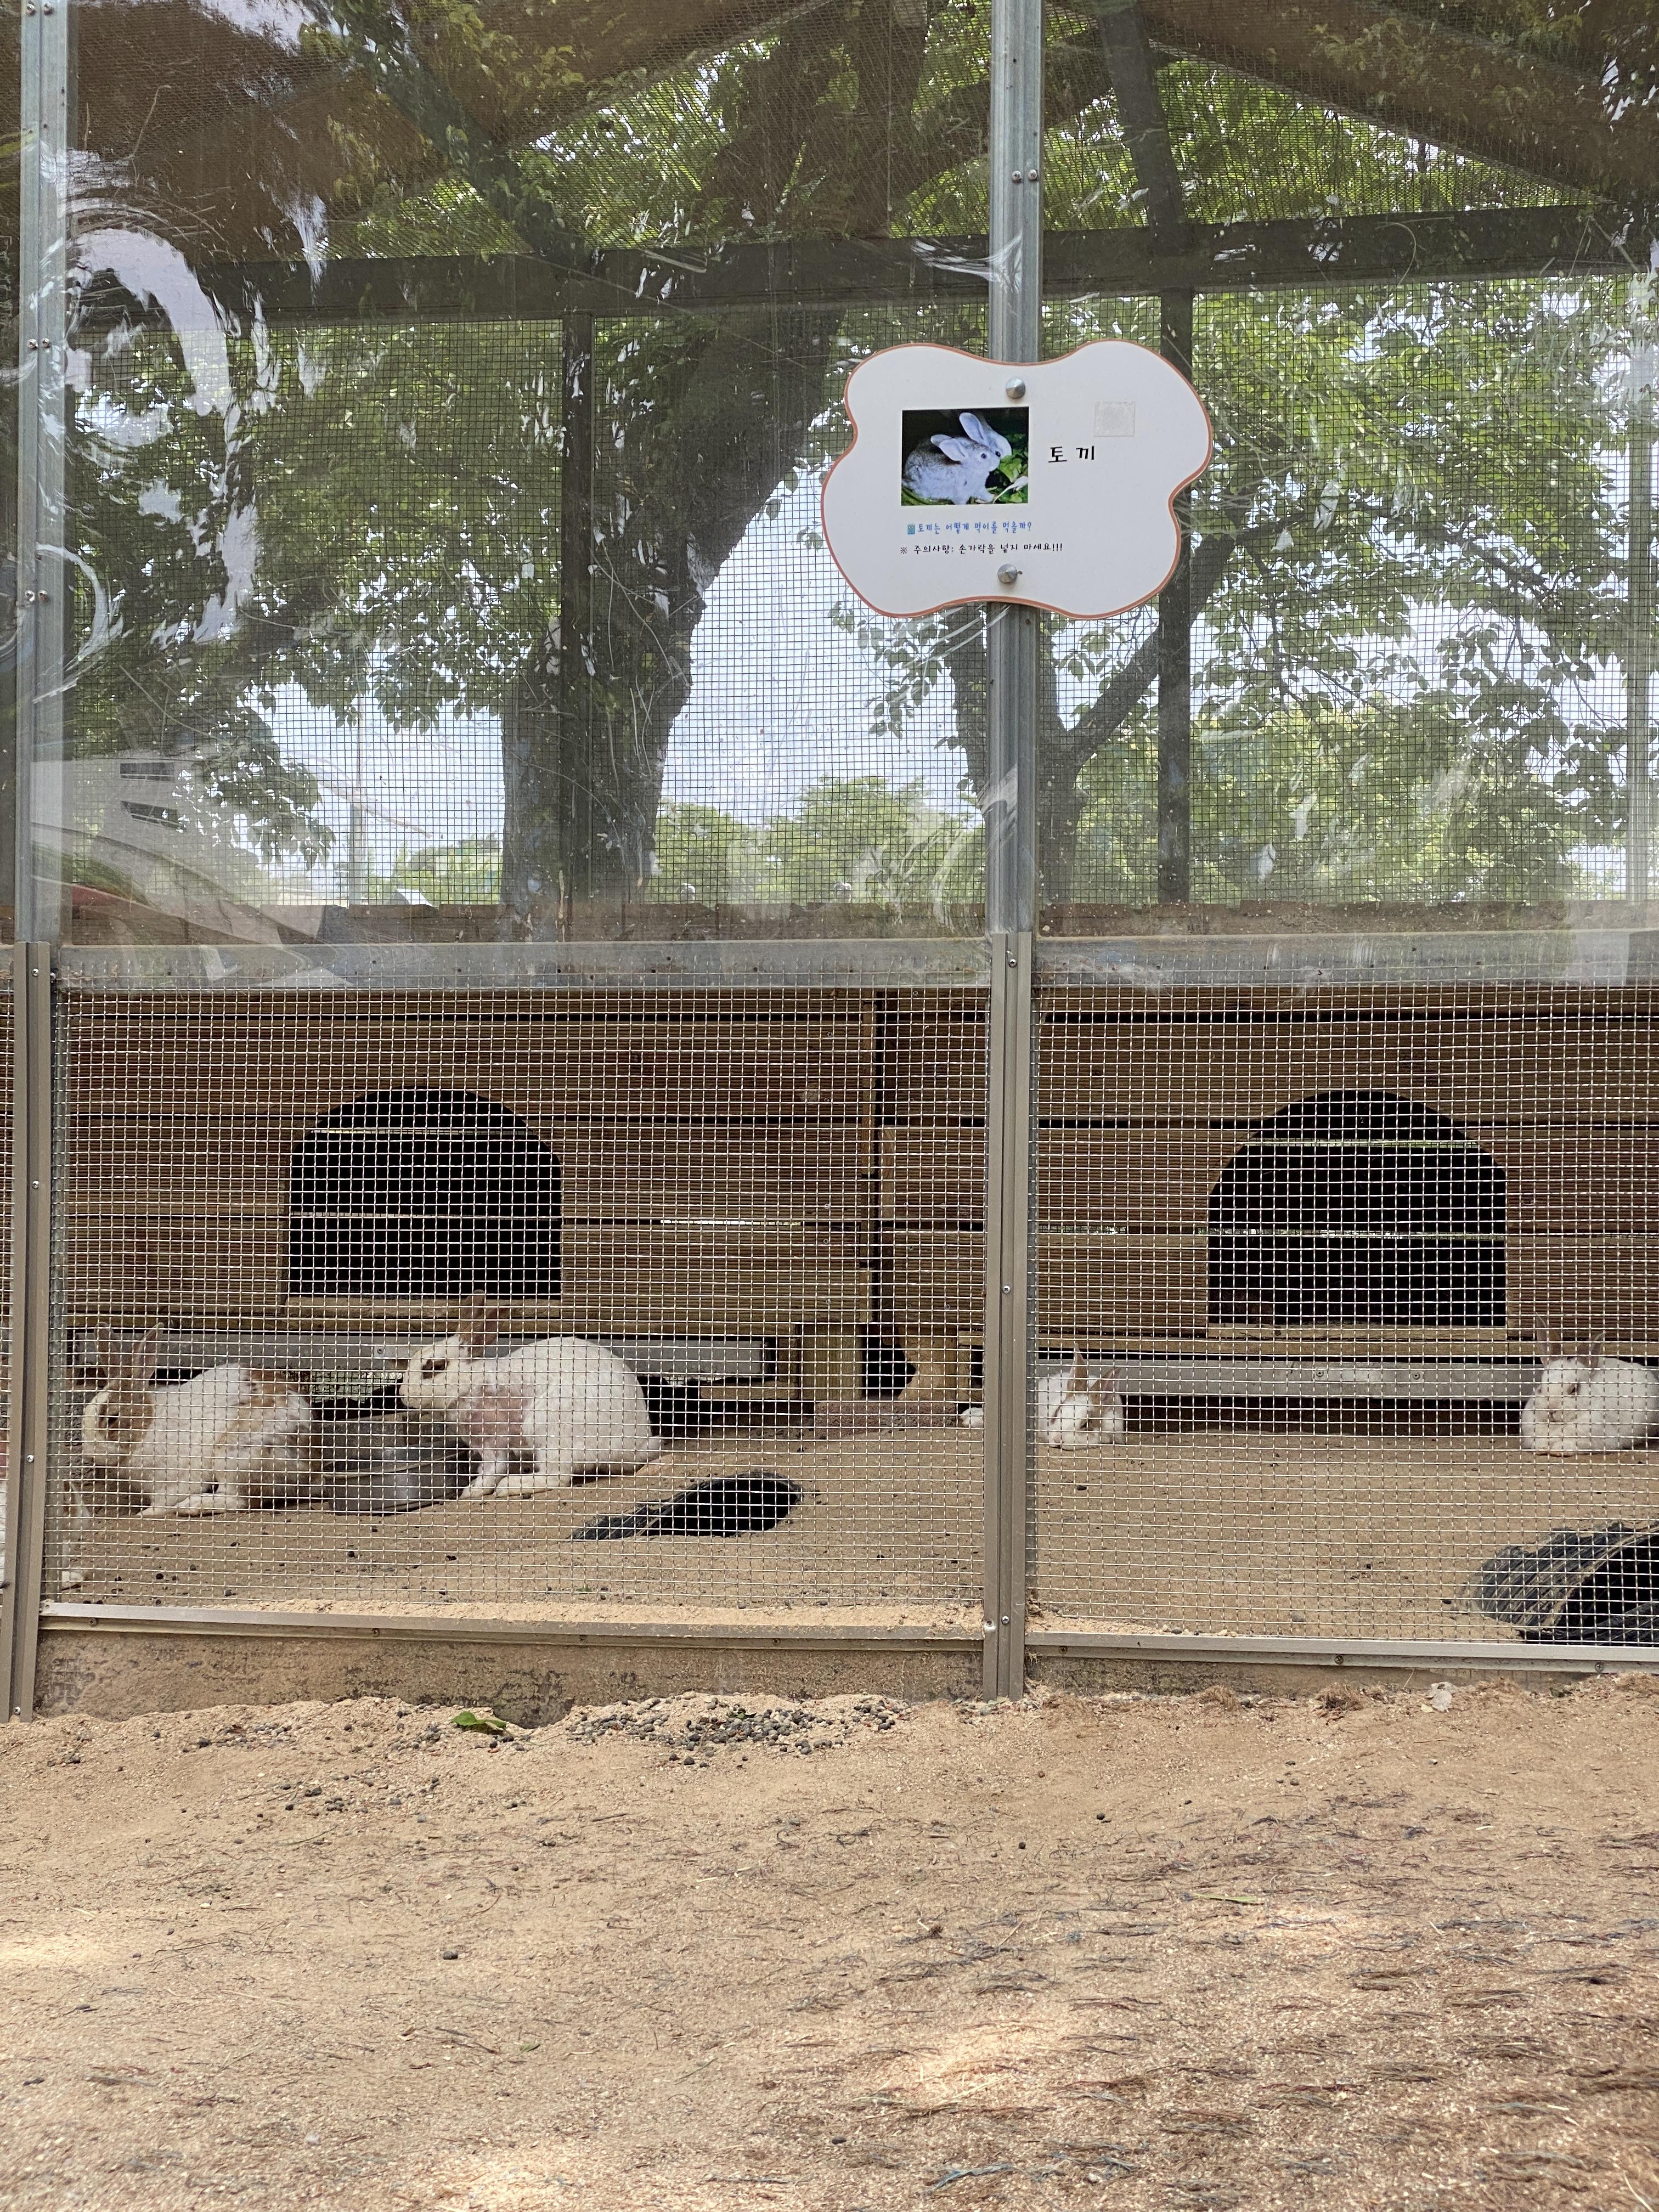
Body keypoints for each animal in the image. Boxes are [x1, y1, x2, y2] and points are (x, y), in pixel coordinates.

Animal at [80, 1328, 314, 1514]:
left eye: (112, 1418)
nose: (90, 1454)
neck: (147, 1425)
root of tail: (312, 1469)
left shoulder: (174, 1482)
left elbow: (162, 1504)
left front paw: (144, 1514)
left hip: (235, 1457)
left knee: (239, 1500)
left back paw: (190, 1507)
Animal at [399, 1295, 664, 1497]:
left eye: (435, 1367)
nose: (402, 1395)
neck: (472, 1384)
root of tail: (634, 1446)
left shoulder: (494, 1443)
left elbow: (493, 1471)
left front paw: (471, 1493)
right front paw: (470, 1491)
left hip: (547, 1427)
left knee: (557, 1477)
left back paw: (511, 1487)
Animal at [902, 410, 1022, 505]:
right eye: (997, 454)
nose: (997, 462)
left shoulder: (979, 489)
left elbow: (985, 495)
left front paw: (994, 497)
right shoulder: (961, 495)